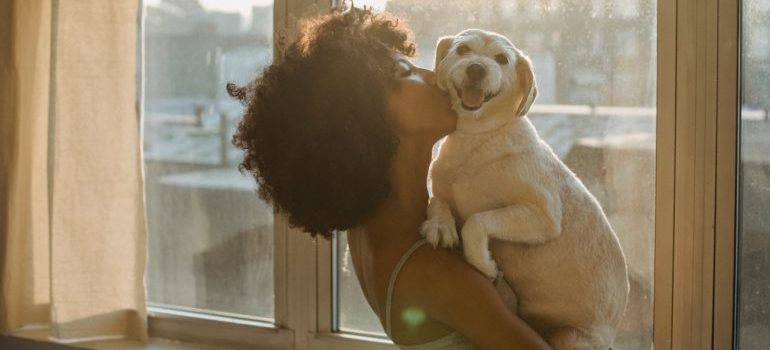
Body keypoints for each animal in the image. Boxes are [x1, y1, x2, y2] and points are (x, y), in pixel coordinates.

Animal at [424, 30, 628, 350]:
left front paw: (484, 264)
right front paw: (440, 225)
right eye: (463, 50)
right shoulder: (442, 188)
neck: (477, 138)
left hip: (570, 337)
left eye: (502, 59)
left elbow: (476, 221)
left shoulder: (543, 216)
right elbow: (438, 201)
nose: (476, 68)